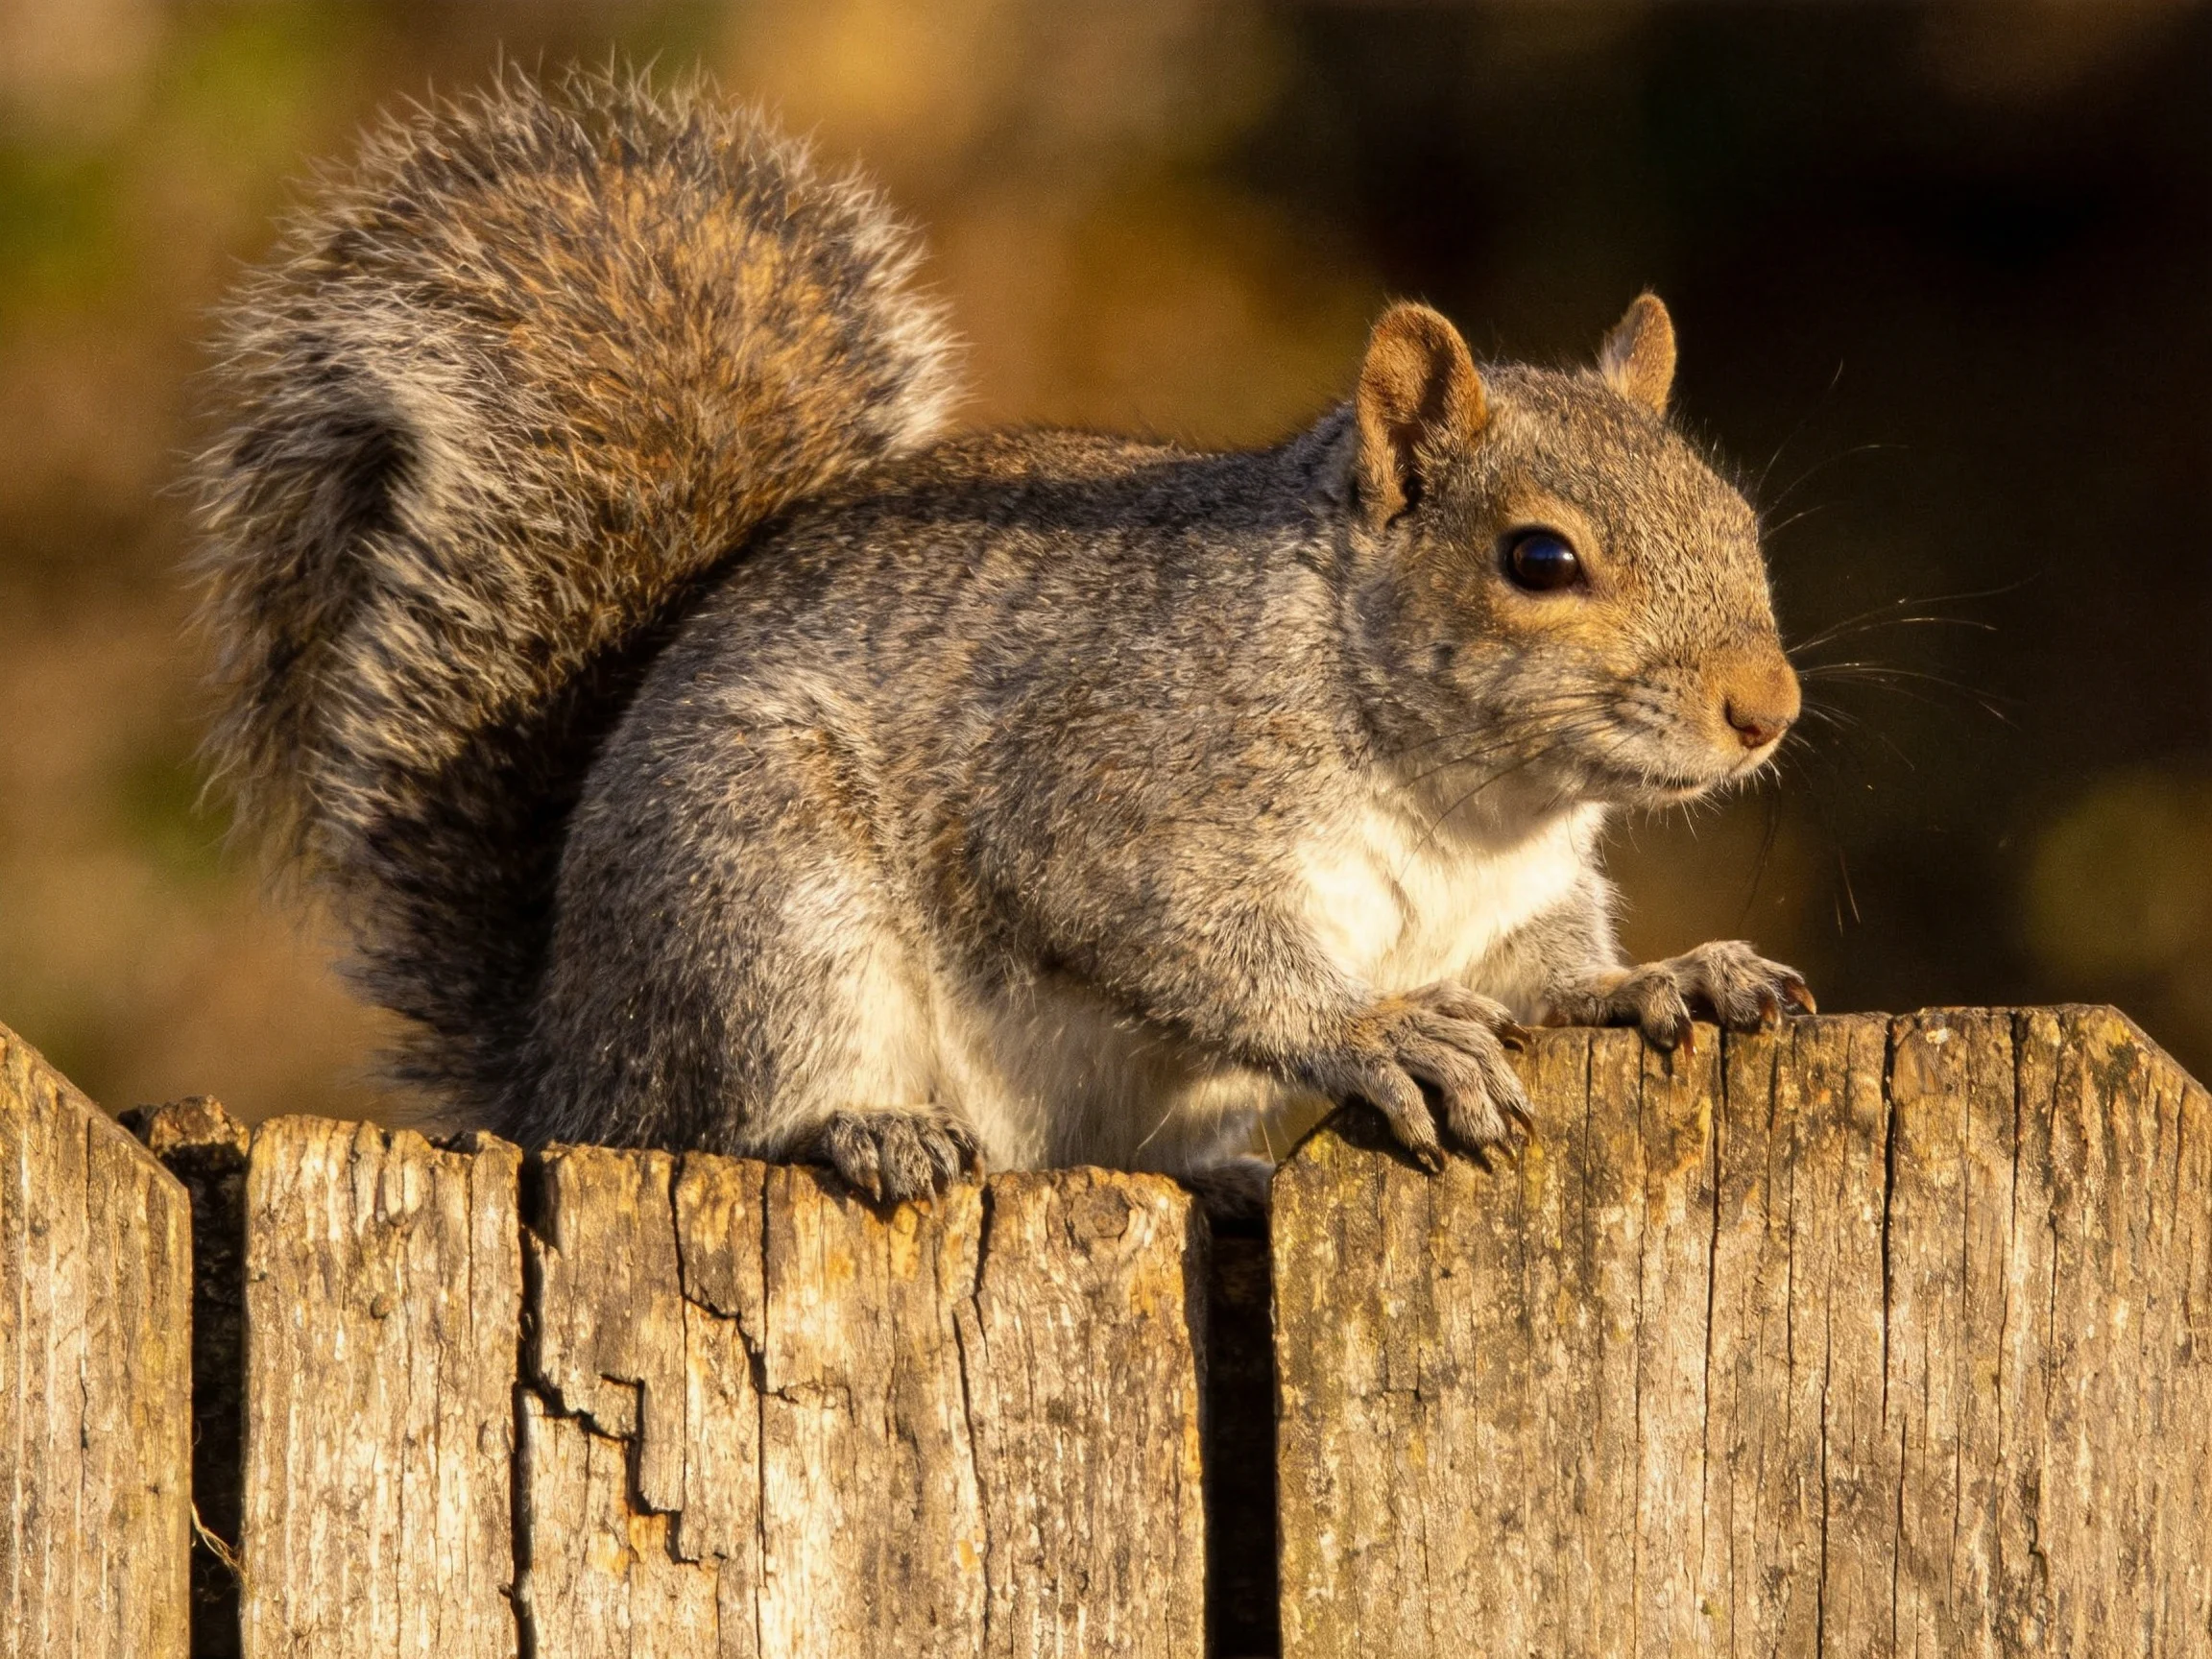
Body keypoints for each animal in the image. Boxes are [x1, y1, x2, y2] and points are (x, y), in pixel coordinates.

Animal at [195, 67, 1813, 1215]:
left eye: (1740, 520)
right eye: (1539, 559)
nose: (1768, 708)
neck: (1466, 798)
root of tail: (558, 1064)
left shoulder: (1512, 907)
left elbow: (1549, 977)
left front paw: (1666, 980)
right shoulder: (1121, 793)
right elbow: (1186, 943)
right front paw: (1378, 1035)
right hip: (754, 901)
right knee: (727, 1114)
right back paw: (860, 1131)